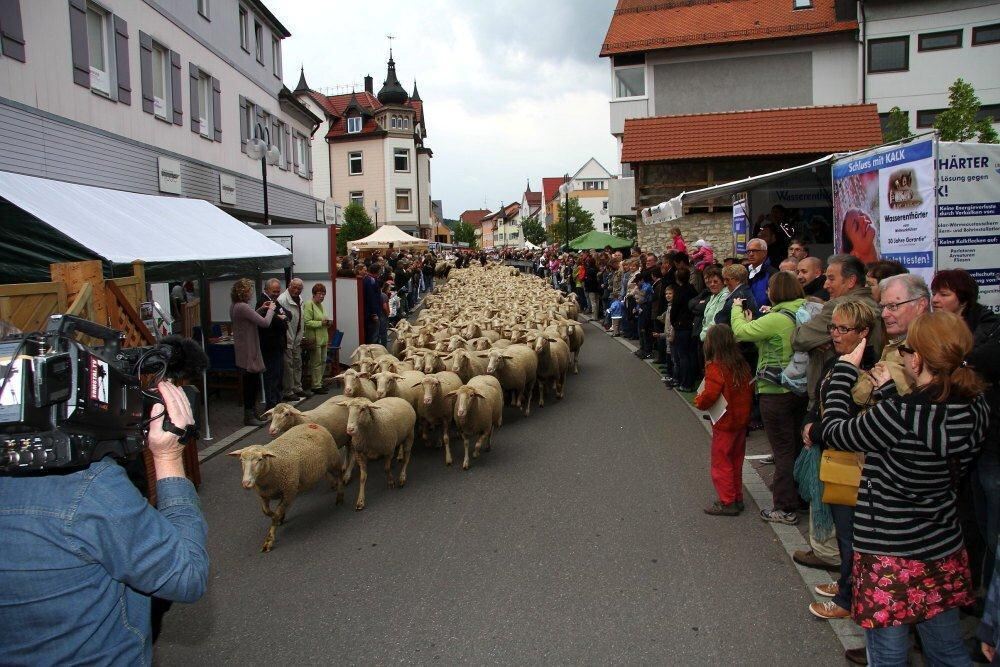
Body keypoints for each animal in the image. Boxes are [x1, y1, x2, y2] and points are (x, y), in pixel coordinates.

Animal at [229, 426, 346, 556]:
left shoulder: (289, 492)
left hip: (334, 461)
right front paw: (279, 517)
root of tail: (313, 424)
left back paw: (340, 496)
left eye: (260, 459)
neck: (273, 465)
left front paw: (269, 540)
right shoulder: (264, 495)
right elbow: (267, 511)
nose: (246, 483)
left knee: (340, 476)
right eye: (241, 460)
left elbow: (275, 515)